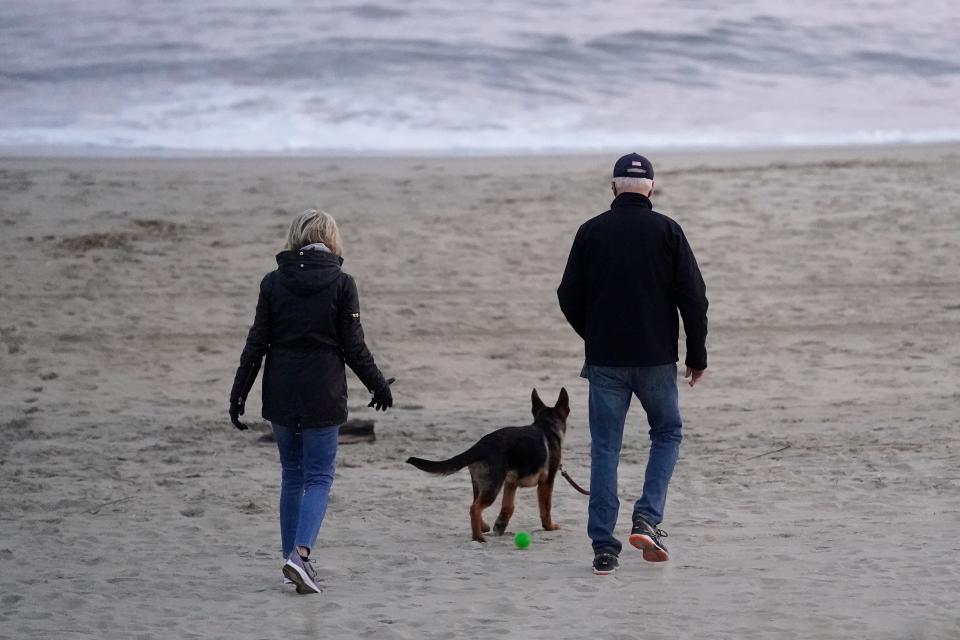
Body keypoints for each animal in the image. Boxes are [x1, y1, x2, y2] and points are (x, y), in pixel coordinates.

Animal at [406, 388, 568, 544]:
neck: (546, 425)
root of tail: (480, 446)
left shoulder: (511, 482)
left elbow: (508, 507)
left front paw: (500, 525)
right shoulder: (547, 482)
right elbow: (546, 507)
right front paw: (549, 527)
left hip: (481, 484)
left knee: (475, 503)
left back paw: (482, 527)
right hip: (493, 487)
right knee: (475, 508)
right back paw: (478, 537)